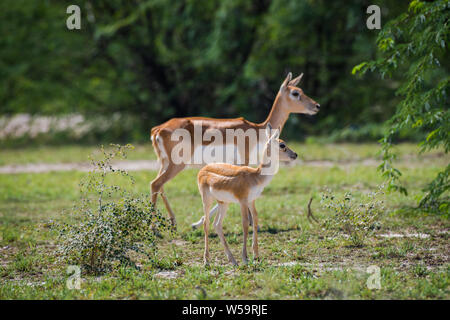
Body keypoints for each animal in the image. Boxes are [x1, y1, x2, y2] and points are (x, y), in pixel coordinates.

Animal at [151, 73, 320, 228]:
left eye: (301, 90)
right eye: (295, 93)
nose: (317, 106)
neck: (257, 130)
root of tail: (158, 129)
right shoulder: (243, 161)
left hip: (164, 163)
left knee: (160, 186)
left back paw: (173, 222)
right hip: (177, 164)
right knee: (156, 184)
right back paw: (154, 227)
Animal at [200, 125, 298, 264]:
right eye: (282, 145)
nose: (295, 154)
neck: (256, 176)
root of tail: (202, 170)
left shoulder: (252, 200)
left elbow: (255, 220)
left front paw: (256, 255)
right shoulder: (243, 201)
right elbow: (245, 224)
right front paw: (245, 258)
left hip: (223, 203)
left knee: (217, 224)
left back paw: (233, 260)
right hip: (207, 200)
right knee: (206, 223)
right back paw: (207, 261)